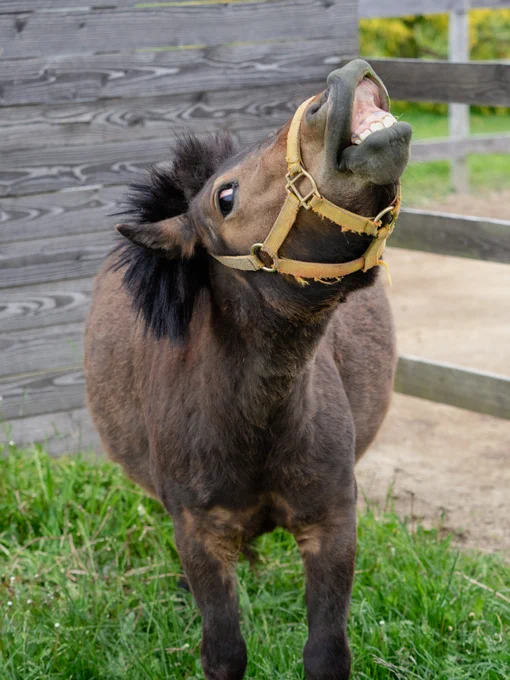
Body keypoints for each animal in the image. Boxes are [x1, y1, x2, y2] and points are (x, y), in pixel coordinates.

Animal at [84, 59, 412, 680]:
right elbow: (224, 652)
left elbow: (326, 654)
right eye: (225, 196)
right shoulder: (199, 535)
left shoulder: (333, 523)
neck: (253, 419)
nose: (342, 82)